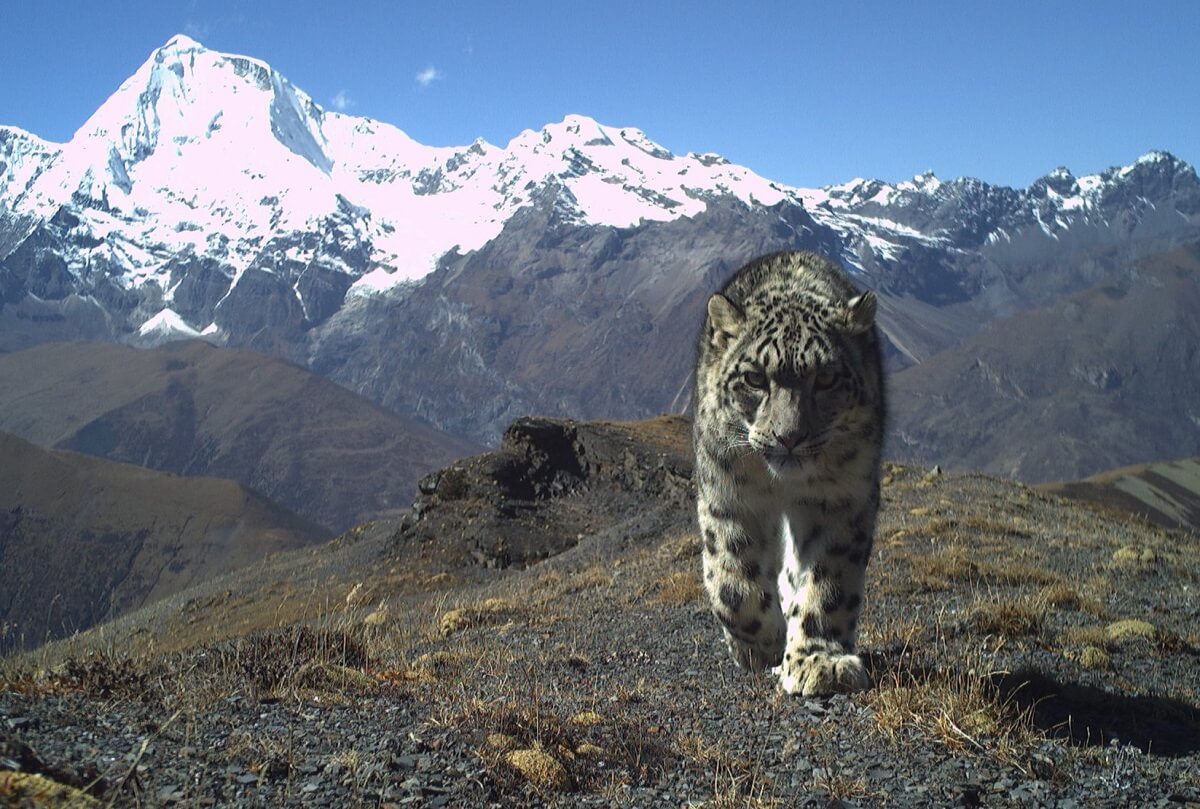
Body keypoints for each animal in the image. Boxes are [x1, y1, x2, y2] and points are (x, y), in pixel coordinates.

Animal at [691, 250, 888, 691]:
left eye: (827, 377)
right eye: (753, 378)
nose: (789, 437)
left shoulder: (841, 501)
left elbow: (828, 584)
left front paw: (819, 660)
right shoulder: (728, 497)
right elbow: (732, 580)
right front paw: (762, 645)